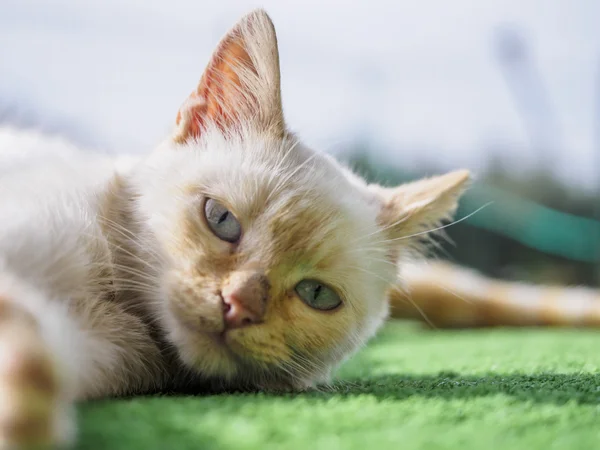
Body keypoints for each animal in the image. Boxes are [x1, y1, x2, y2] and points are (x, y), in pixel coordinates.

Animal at [0, 8, 468, 448]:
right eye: (221, 220)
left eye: (317, 294)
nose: (238, 305)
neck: (114, 307)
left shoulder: (82, 347)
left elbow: (31, 361)